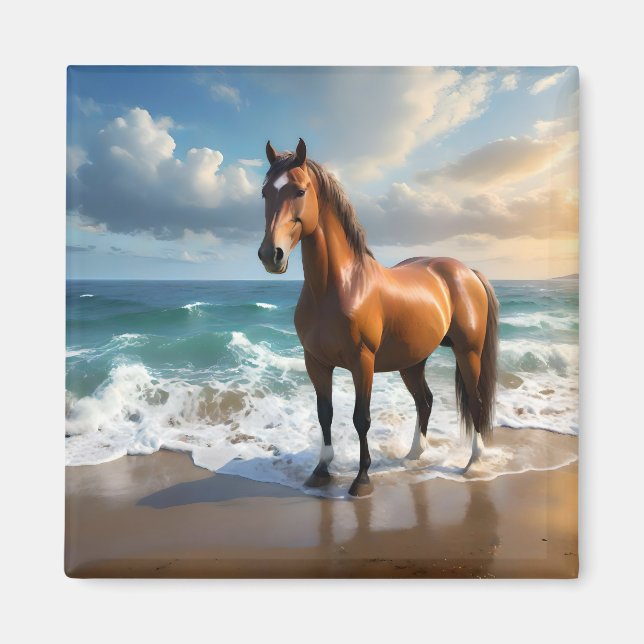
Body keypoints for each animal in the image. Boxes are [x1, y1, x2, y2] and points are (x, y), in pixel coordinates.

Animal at [257, 138, 499, 497]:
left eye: (299, 191)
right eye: (264, 193)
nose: (270, 255)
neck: (338, 286)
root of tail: (467, 271)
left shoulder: (363, 362)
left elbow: (362, 419)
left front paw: (362, 478)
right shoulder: (316, 363)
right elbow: (325, 414)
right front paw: (321, 469)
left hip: (468, 352)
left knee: (475, 401)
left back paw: (474, 461)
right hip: (412, 361)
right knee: (425, 401)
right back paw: (414, 453)